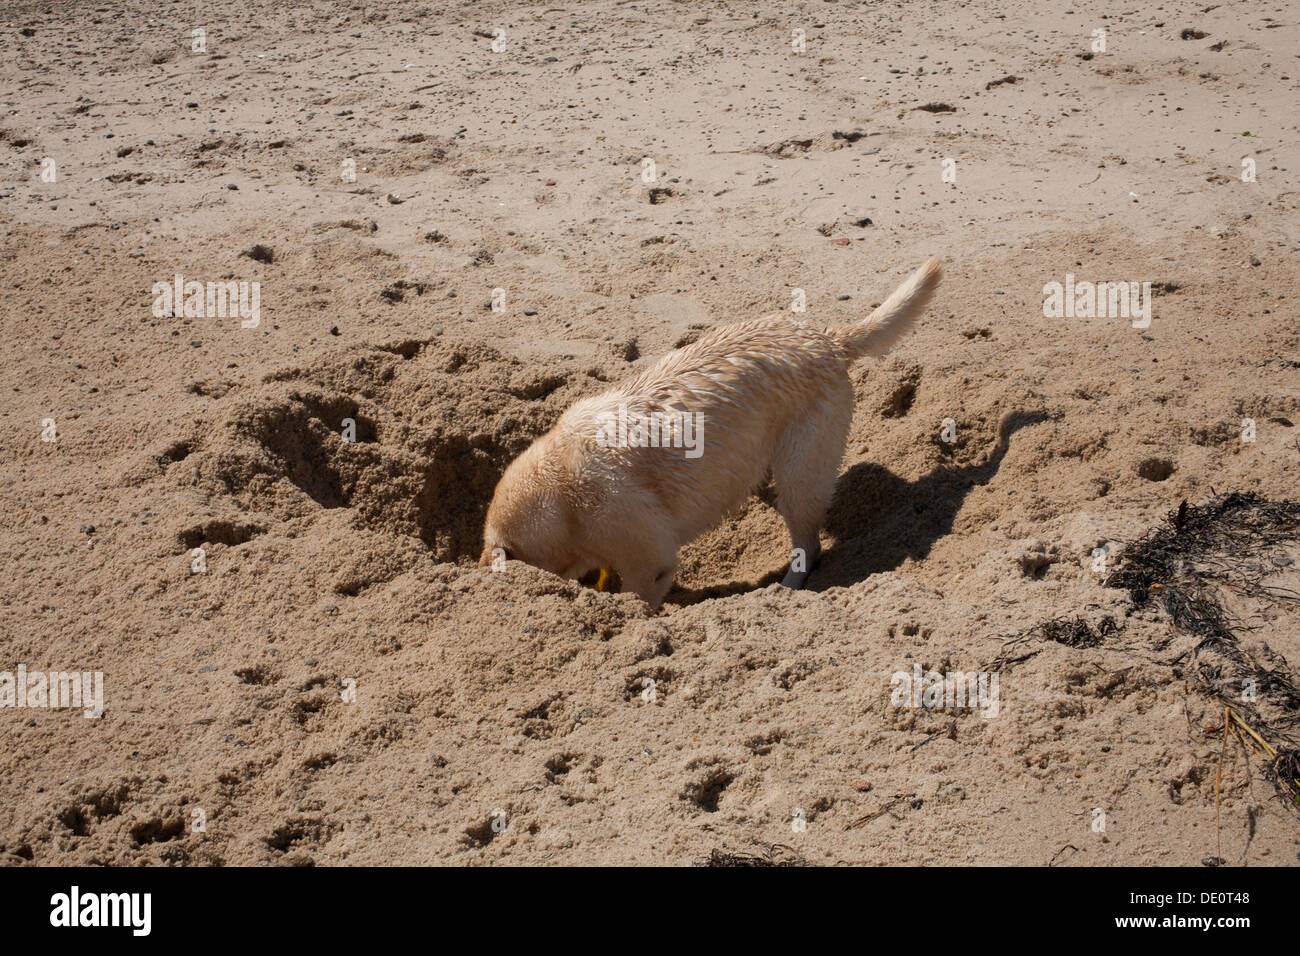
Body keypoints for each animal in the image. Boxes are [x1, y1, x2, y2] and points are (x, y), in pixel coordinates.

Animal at [483, 257, 941, 608]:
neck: (558, 491)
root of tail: (827, 339)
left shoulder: (649, 562)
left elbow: (641, 602)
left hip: (801, 475)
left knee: (808, 548)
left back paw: (787, 588)